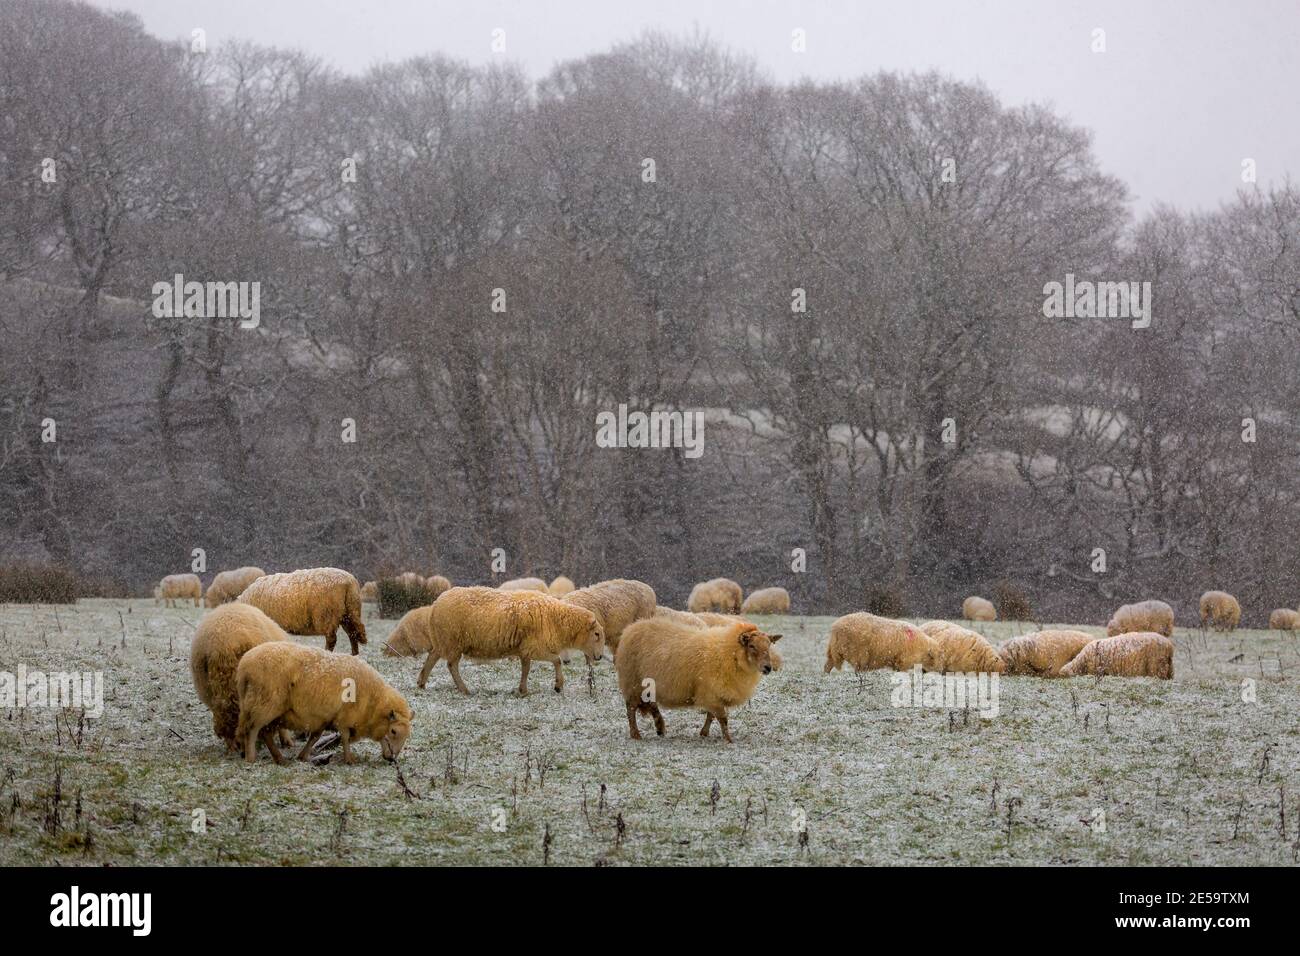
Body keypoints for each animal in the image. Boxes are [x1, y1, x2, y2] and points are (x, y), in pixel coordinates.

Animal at [235, 642, 410, 770]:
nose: (392, 759)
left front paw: (303, 756)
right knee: (253, 729)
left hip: (267, 709)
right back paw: (251, 758)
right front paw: (349, 759)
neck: (373, 701)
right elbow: (345, 738)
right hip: (264, 704)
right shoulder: (344, 717)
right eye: (394, 731)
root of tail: (244, 666)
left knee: (265, 732)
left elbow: (315, 737)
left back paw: (279, 759)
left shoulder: (324, 718)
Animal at [236, 567, 369, 658]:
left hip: (328, 615)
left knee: (332, 639)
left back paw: (327, 654)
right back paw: (355, 656)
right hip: (350, 613)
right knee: (353, 634)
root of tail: (349, 582)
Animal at [408, 582, 605, 697]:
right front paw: (558, 685)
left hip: (443, 640)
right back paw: (464, 689)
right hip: (453, 641)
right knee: (451, 665)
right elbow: (557, 661)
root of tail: (435, 604)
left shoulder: (526, 649)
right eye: (596, 634)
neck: (556, 618)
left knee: (432, 658)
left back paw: (421, 683)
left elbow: (526, 669)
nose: (600, 657)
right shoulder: (535, 647)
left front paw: (523, 690)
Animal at [611, 616, 774, 743]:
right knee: (631, 709)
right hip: (633, 682)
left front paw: (704, 733)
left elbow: (711, 715)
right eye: (752, 646)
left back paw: (660, 727)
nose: (768, 667)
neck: (729, 652)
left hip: (647, 685)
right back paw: (636, 734)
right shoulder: (711, 692)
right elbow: (722, 718)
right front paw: (728, 739)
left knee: (651, 704)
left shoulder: (714, 693)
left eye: (769, 645)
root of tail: (631, 628)